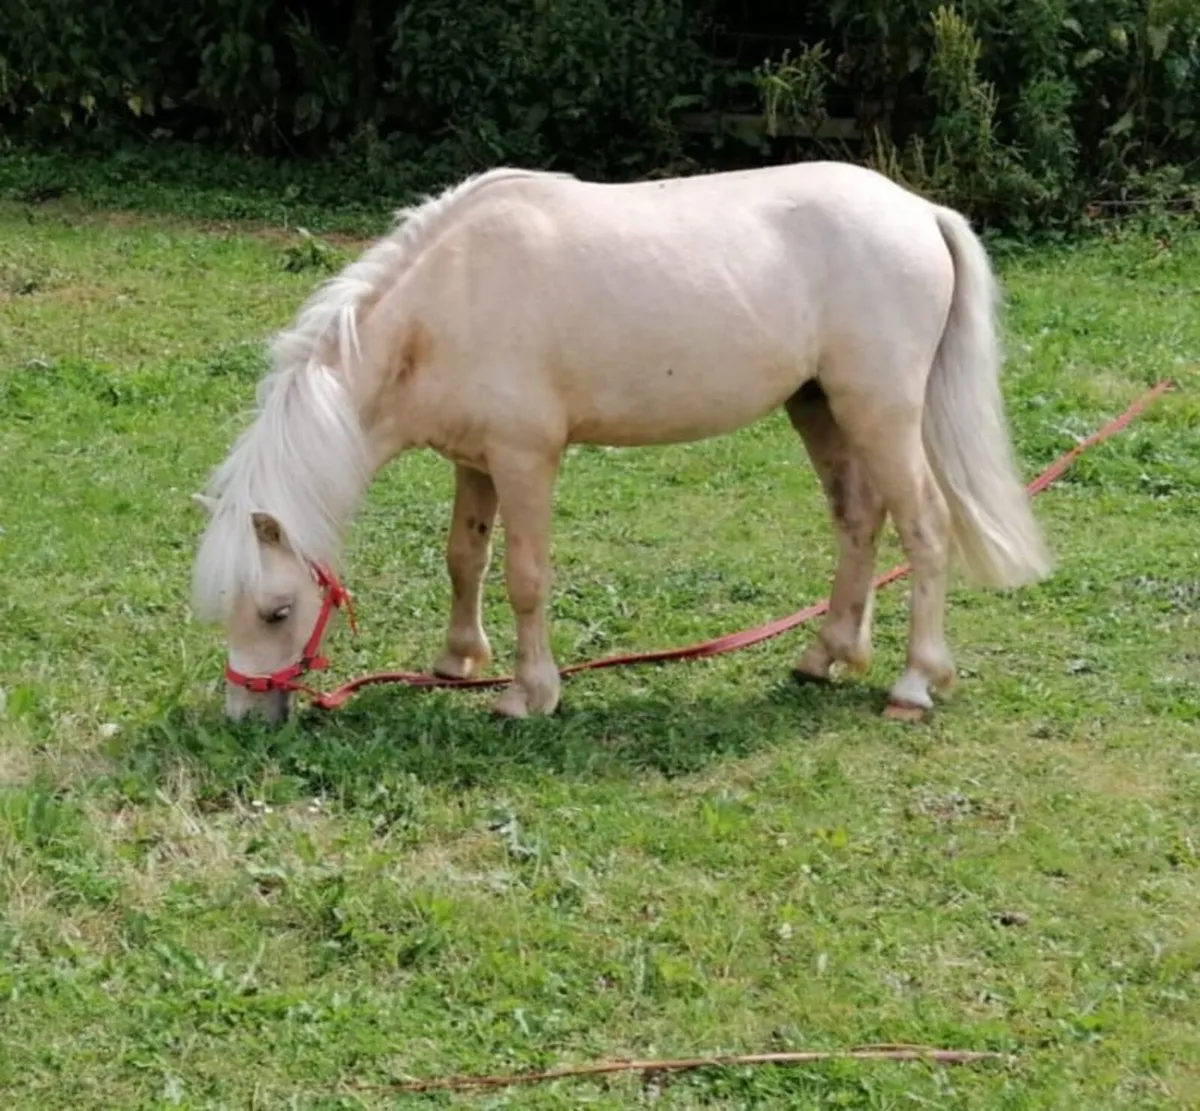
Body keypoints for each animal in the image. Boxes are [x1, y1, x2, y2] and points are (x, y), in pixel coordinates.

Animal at [190, 160, 1051, 726]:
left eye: (276, 610)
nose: (243, 714)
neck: (449, 300)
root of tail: (920, 211)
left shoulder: (526, 459)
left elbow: (525, 577)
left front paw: (528, 693)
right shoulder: (475, 459)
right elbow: (464, 557)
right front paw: (457, 660)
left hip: (880, 410)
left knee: (926, 527)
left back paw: (913, 684)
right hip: (819, 408)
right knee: (859, 517)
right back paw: (825, 654)